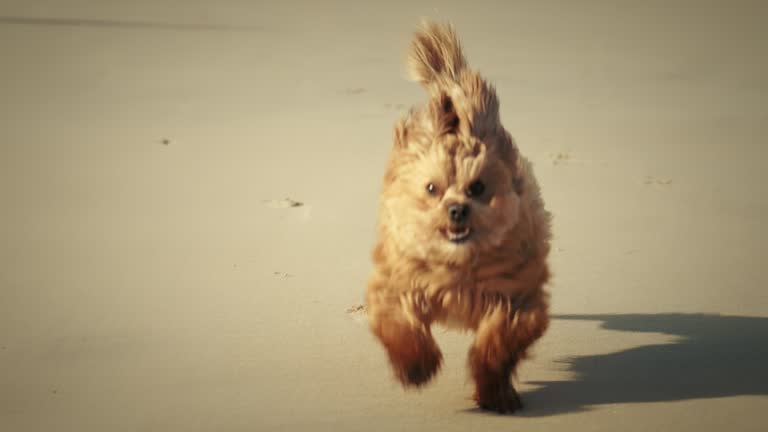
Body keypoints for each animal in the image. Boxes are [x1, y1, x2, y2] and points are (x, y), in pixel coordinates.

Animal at [366, 22, 552, 414]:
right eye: (432, 188)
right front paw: (417, 367)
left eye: (478, 187)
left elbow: (498, 342)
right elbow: (399, 325)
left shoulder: (519, 298)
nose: (457, 209)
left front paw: (496, 393)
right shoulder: (395, 286)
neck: (458, 266)